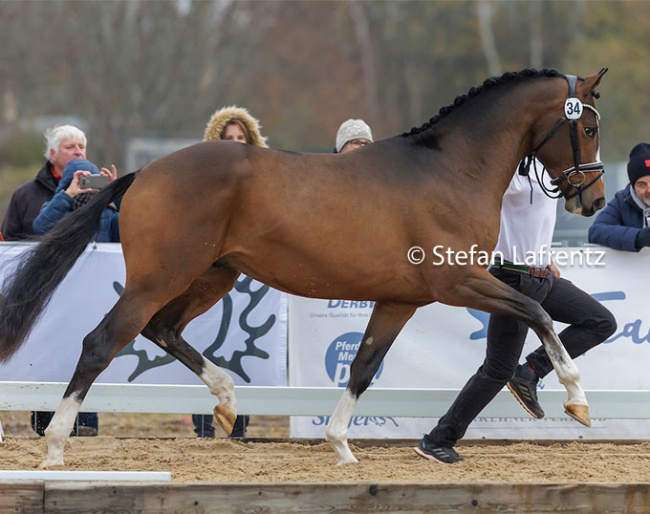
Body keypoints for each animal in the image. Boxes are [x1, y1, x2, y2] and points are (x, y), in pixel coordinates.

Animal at [1, 67, 608, 464]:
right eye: (590, 127)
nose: (594, 199)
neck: (450, 170)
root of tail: (144, 173)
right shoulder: (457, 281)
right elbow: (537, 310)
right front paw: (576, 400)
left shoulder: (401, 298)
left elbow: (363, 365)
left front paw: (340, 446)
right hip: (159, 277)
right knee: (102, 342)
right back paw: (55, 448)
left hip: (212, 275)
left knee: (163, 328)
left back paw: (227, 403)